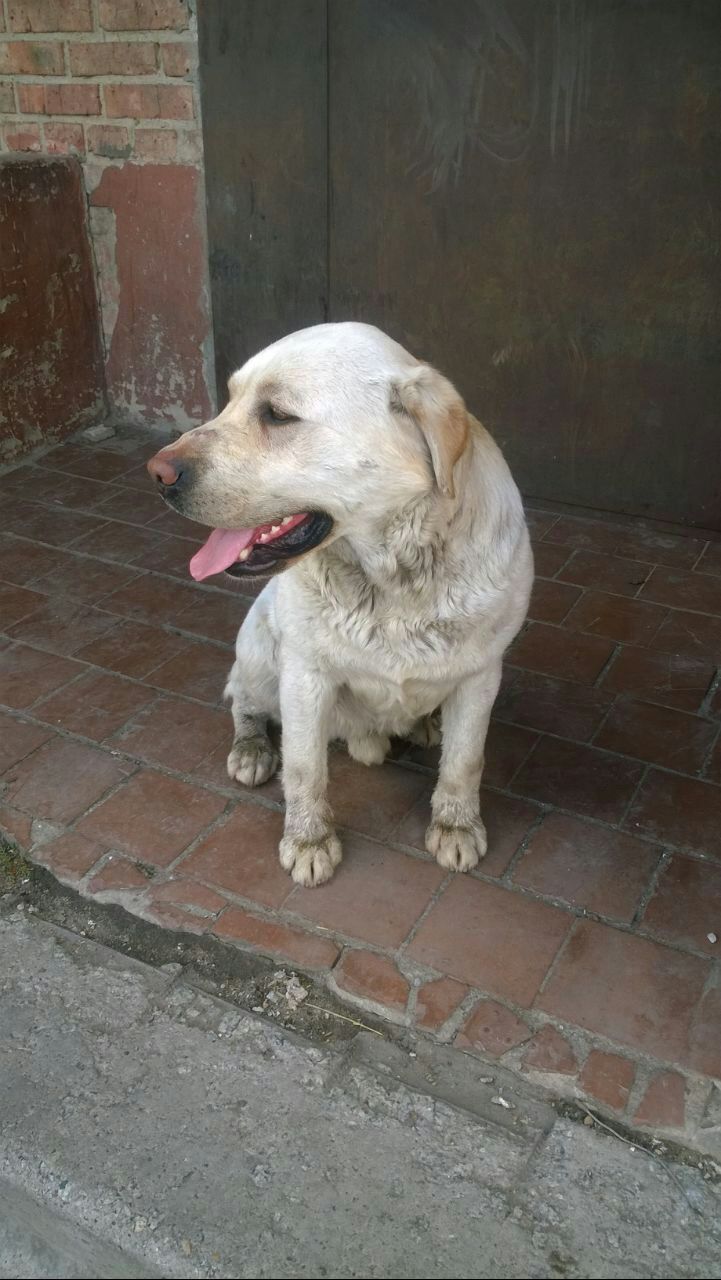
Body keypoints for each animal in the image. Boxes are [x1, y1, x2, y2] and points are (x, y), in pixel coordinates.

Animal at [146, 322, 532, 880]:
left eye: (277, 414)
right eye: (230, 399)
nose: (156, 473)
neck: (393, 579)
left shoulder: (482, 674)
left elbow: (465, 761)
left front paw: (456, 825)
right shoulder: (305, 675)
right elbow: (305, 767)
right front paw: (309, 840)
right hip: (259, 648)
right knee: (241, 696)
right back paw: (252, 747)